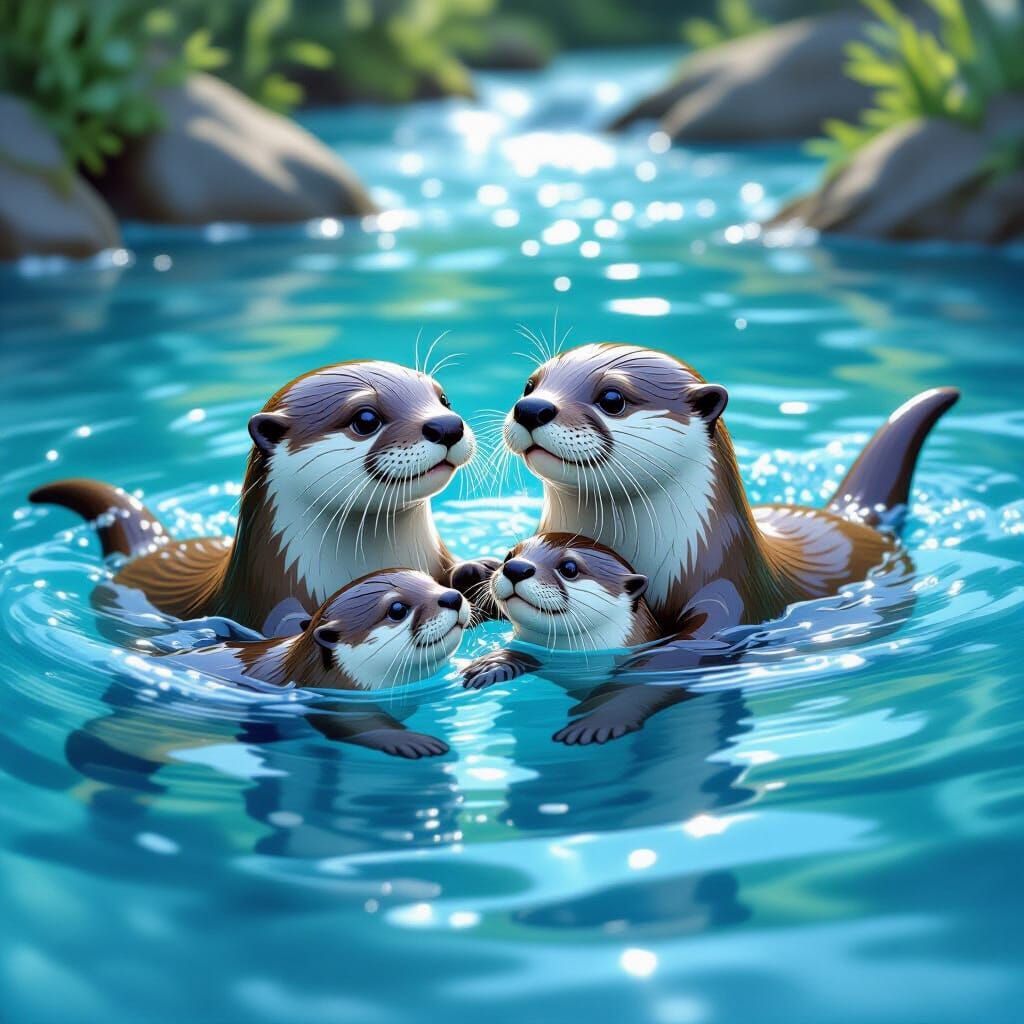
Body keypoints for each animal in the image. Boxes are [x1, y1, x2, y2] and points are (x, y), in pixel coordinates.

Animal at [156, 569, 469, 758]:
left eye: (434, 583)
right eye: (397, 609)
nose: (452, 597)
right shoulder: (335, 701)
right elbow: (360, 726)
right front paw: (413, 741)